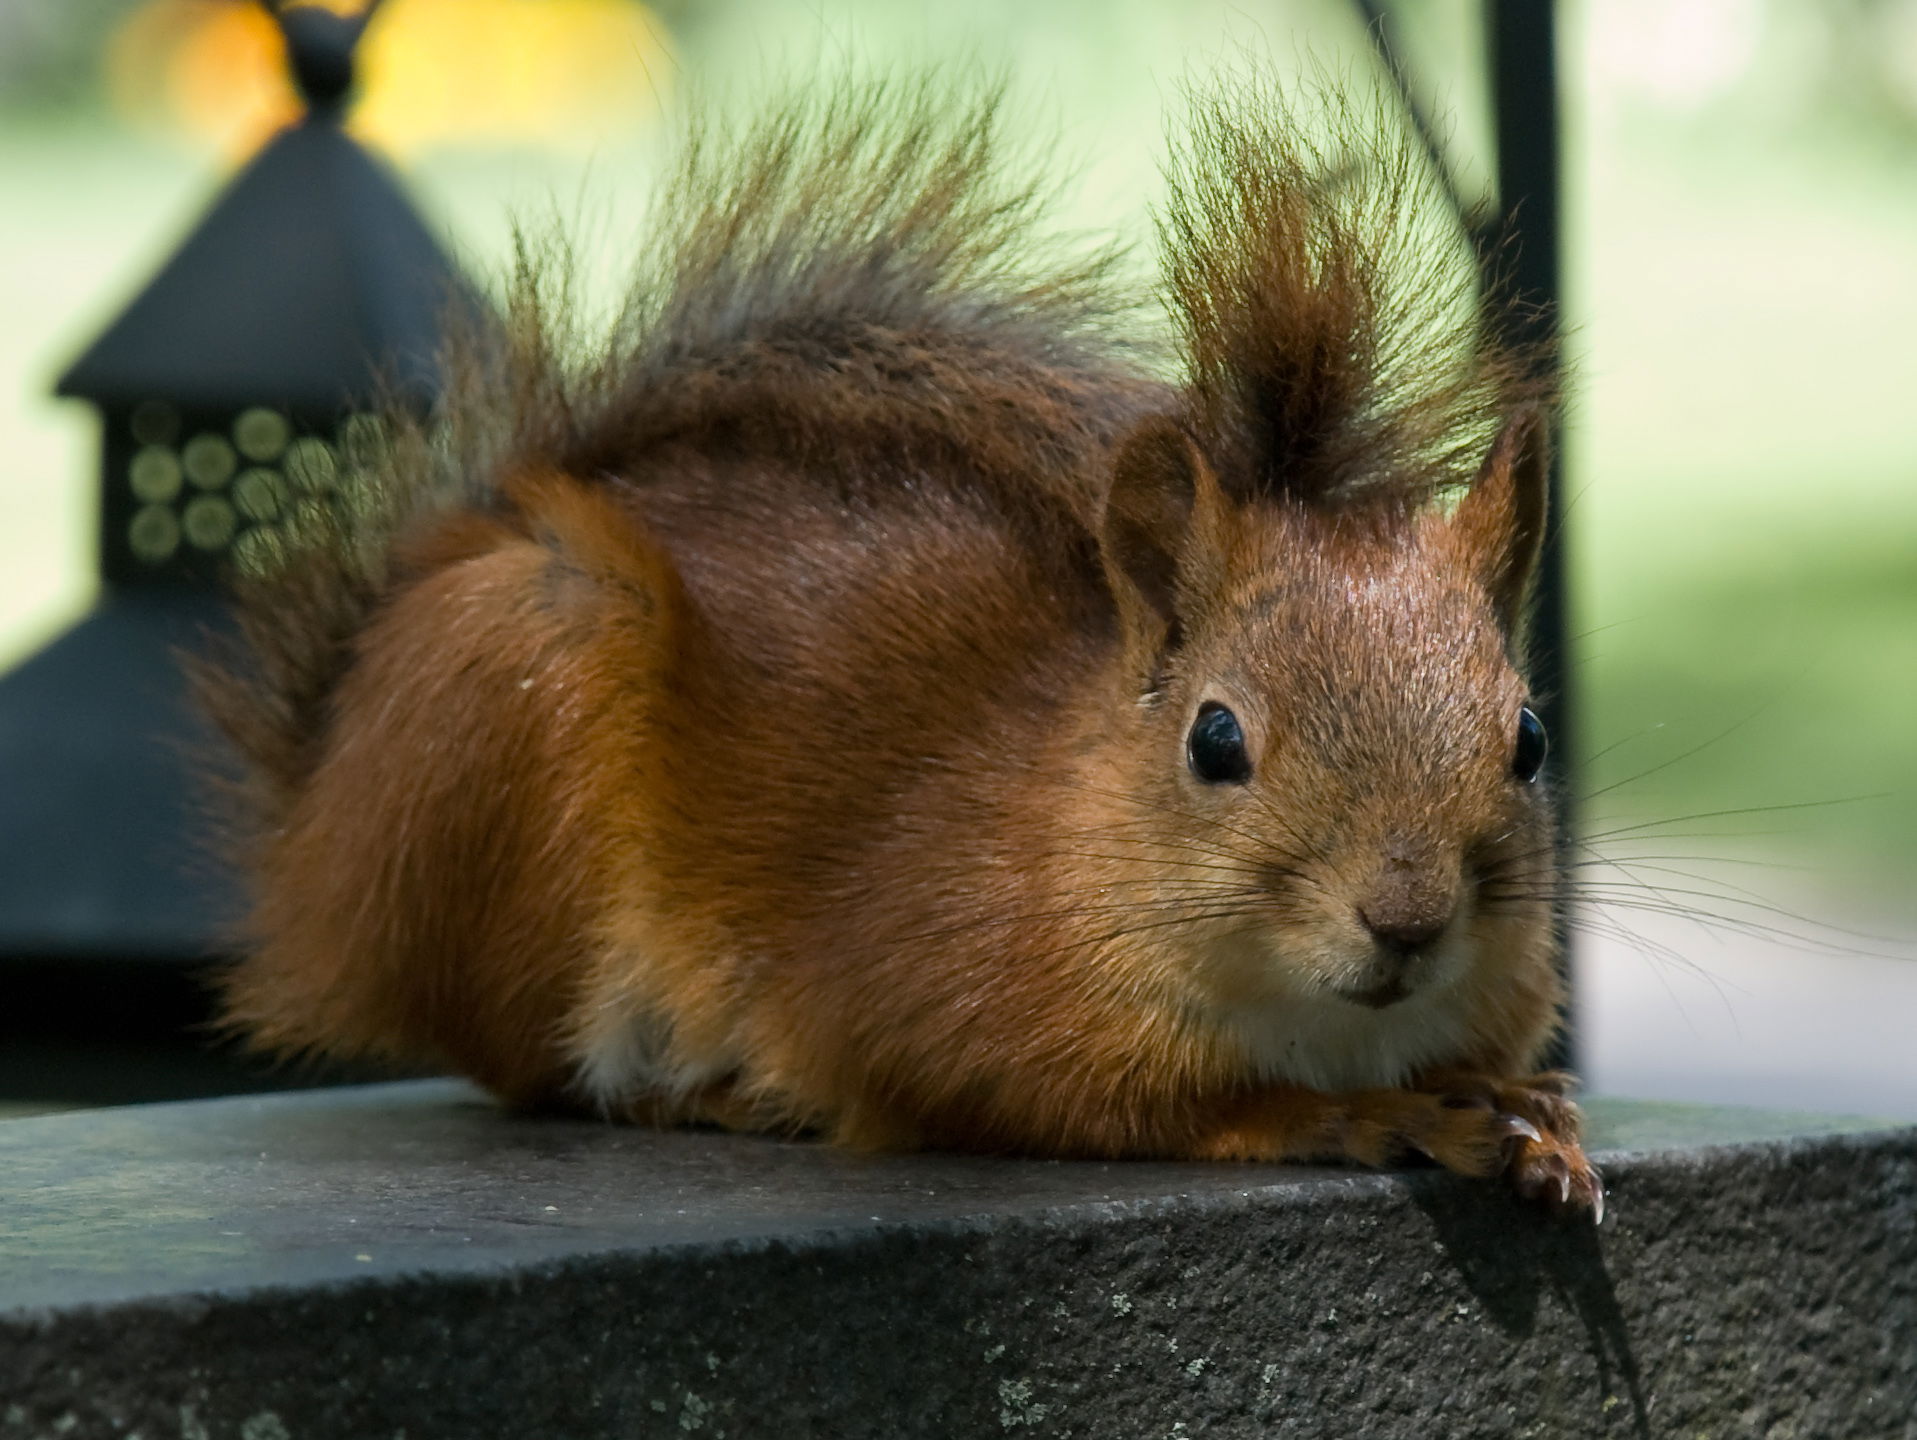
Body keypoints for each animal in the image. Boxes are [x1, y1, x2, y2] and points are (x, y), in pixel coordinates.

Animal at [198, 76, 1601, 1216]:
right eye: (1216, 741)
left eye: (1529, 739)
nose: (1407, 919)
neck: (1064, 809)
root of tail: (320, 837)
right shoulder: (939, 985)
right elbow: (1117, 1105)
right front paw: (1363, 1114)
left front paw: (1534, 1114)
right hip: (518, 719)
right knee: (542, 1073)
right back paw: (724, 1095)